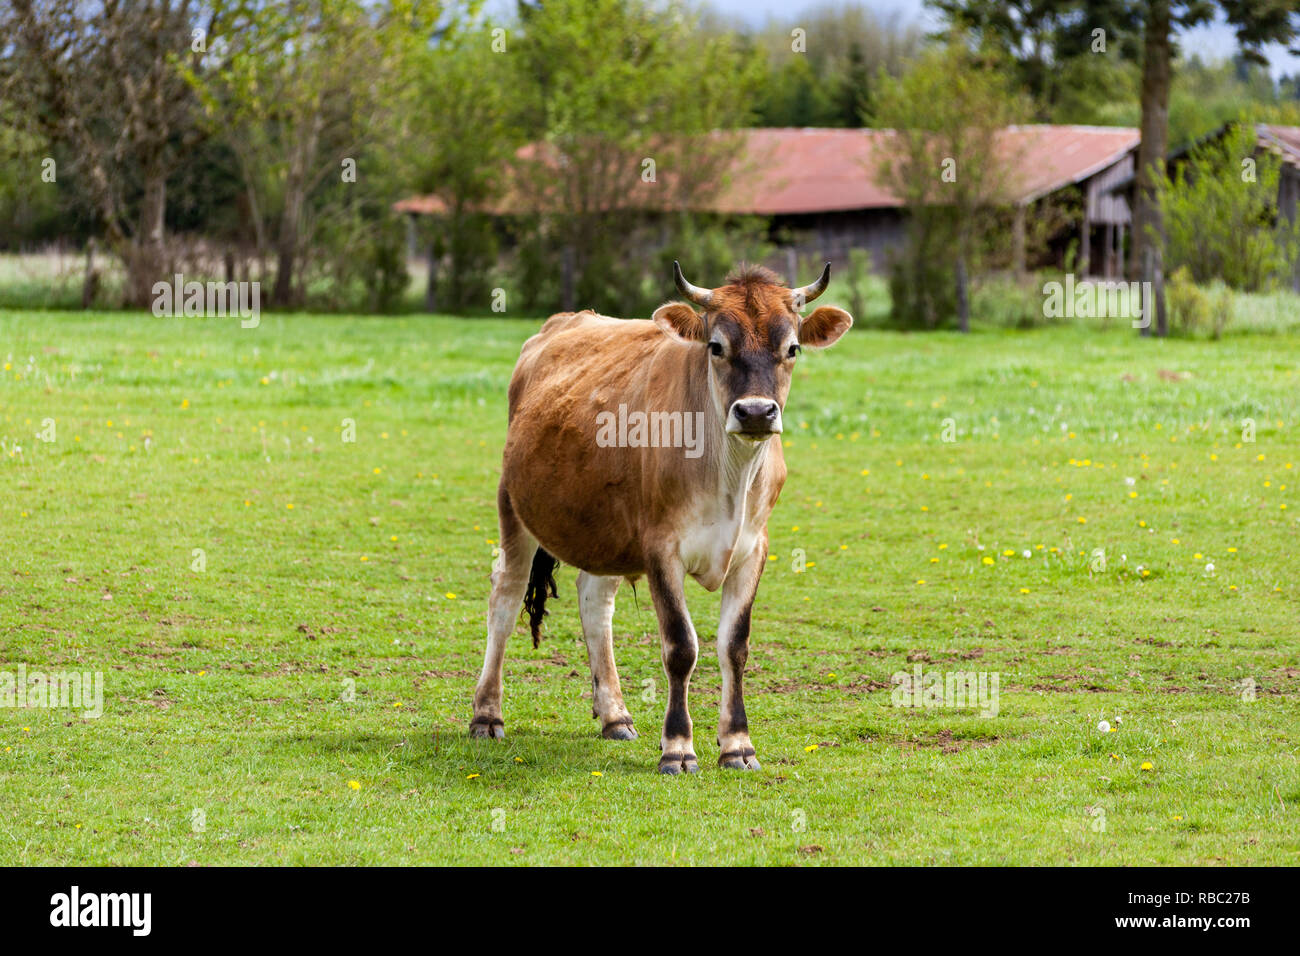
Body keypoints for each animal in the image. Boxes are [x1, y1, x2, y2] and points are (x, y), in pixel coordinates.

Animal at [470, 265, 852, 775]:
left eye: (792, 348)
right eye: (716, 346)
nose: (755, 412)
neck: (727, 475)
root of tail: (564, 322)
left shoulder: (753, 549)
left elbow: (735, 645)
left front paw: (738, 744)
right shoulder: (660, 549)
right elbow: (681, 646)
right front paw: (678, 747)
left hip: (604, 528)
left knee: (595, 604)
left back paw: (614, 715)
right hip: (514, 506)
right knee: (506, 598)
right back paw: (487, 715)